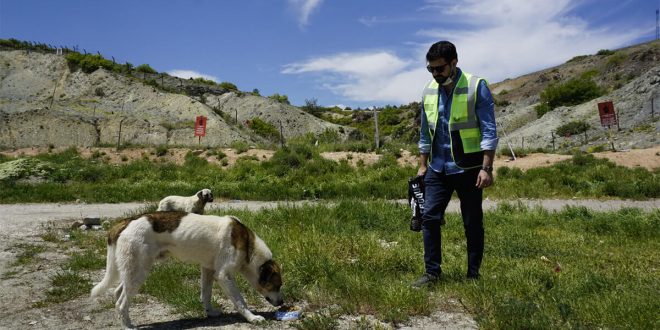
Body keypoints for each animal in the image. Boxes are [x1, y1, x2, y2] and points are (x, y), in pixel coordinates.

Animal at [89, 213, 282, 328]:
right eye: (276, 285)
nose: (282, 303)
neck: (248, 246)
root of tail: (126, 222)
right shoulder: (224, 275)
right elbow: (241, 302)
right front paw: (252, 318)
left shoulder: (208, 270)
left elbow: (206, 294)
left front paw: (210, 312)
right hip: (138, 272)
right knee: (121, 302)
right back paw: (128, 325)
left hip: (132, 271)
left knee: (118, 292)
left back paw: (123, 319)